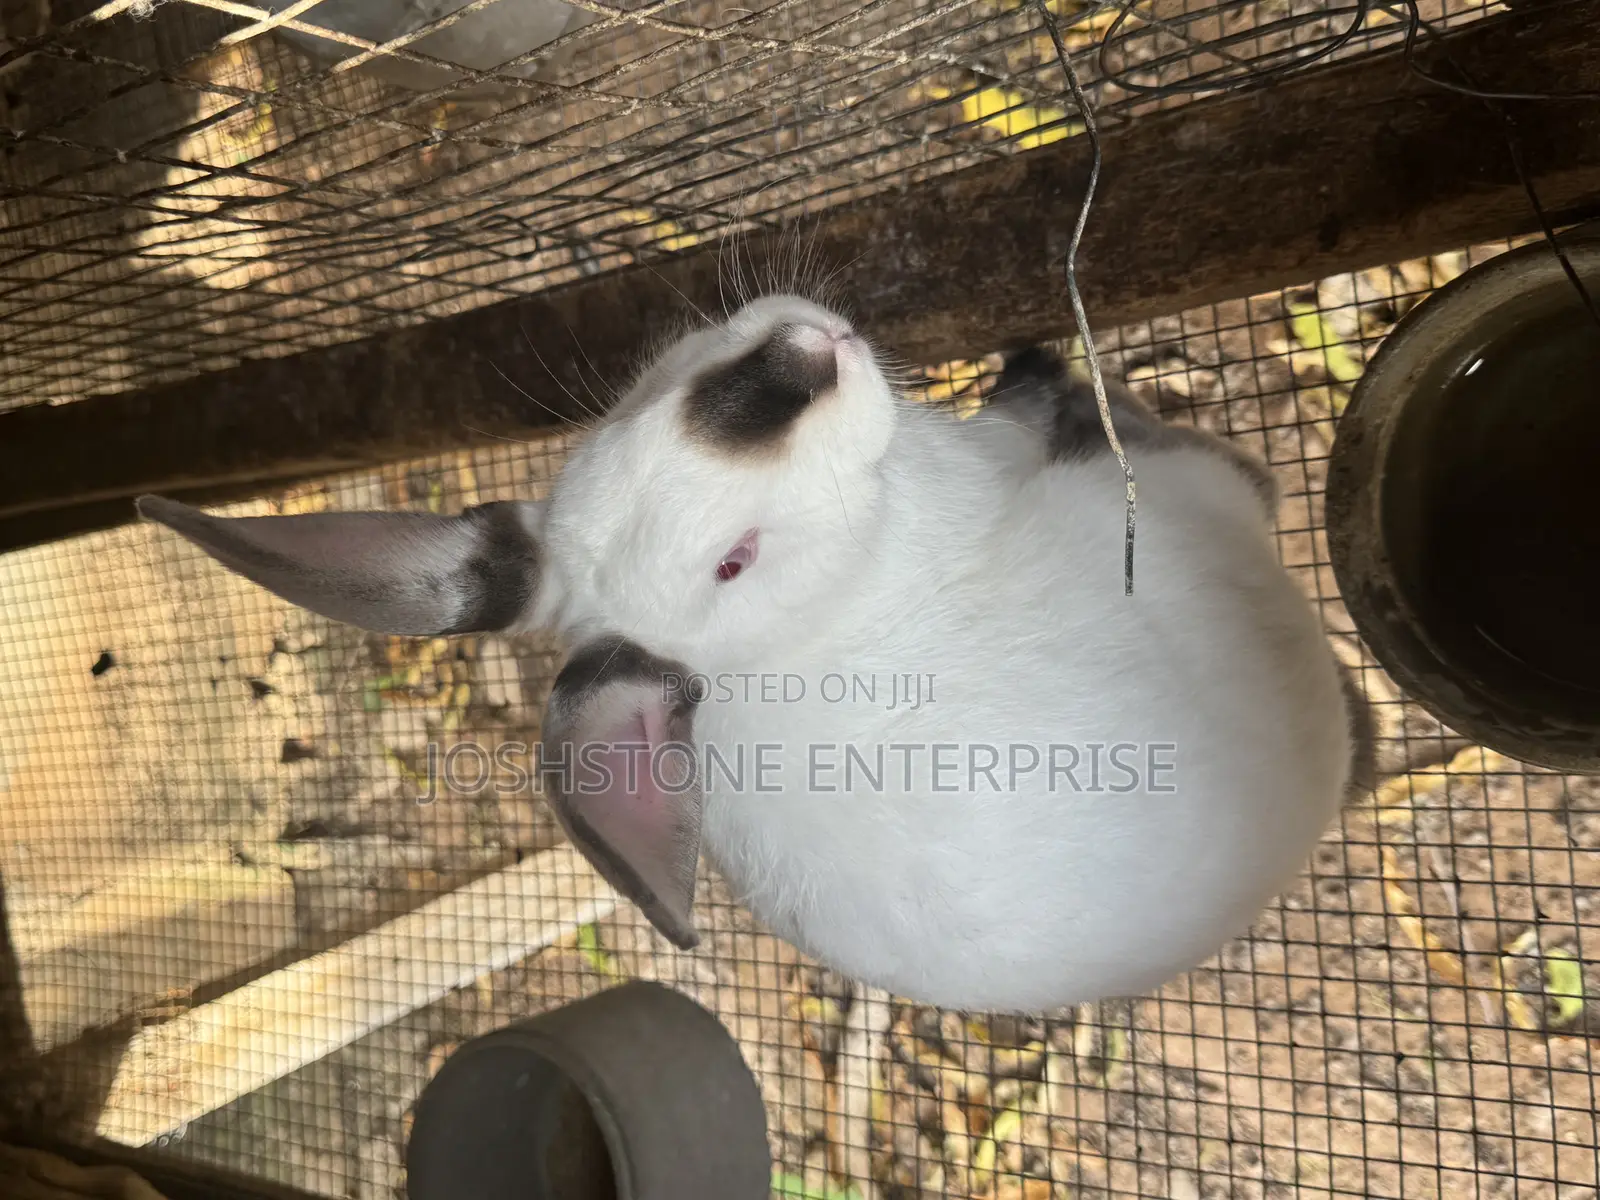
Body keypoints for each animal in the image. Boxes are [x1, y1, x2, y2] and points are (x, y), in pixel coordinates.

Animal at [136, 291, 1367, 1014]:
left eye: (628, 404)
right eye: (733, 562)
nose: (793, 365)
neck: (832, 597)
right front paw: (1043, 371)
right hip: (1172, 507)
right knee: (1217, 474)